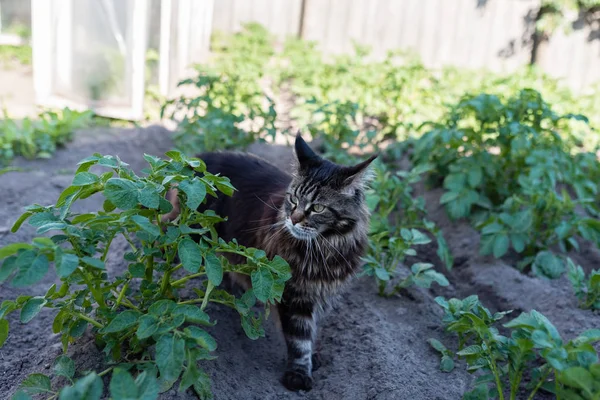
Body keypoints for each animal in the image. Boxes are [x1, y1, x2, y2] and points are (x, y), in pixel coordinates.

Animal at [159, 134, 376, 390]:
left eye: (318, 208)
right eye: (293, 199)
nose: (293, 219)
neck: (324, 248)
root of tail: (195, 159)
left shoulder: (322, 292)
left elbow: (311, 331)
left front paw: (312, 358)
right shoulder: (293, 294)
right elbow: (299, 338)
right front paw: (299, 374)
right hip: (189, 232)